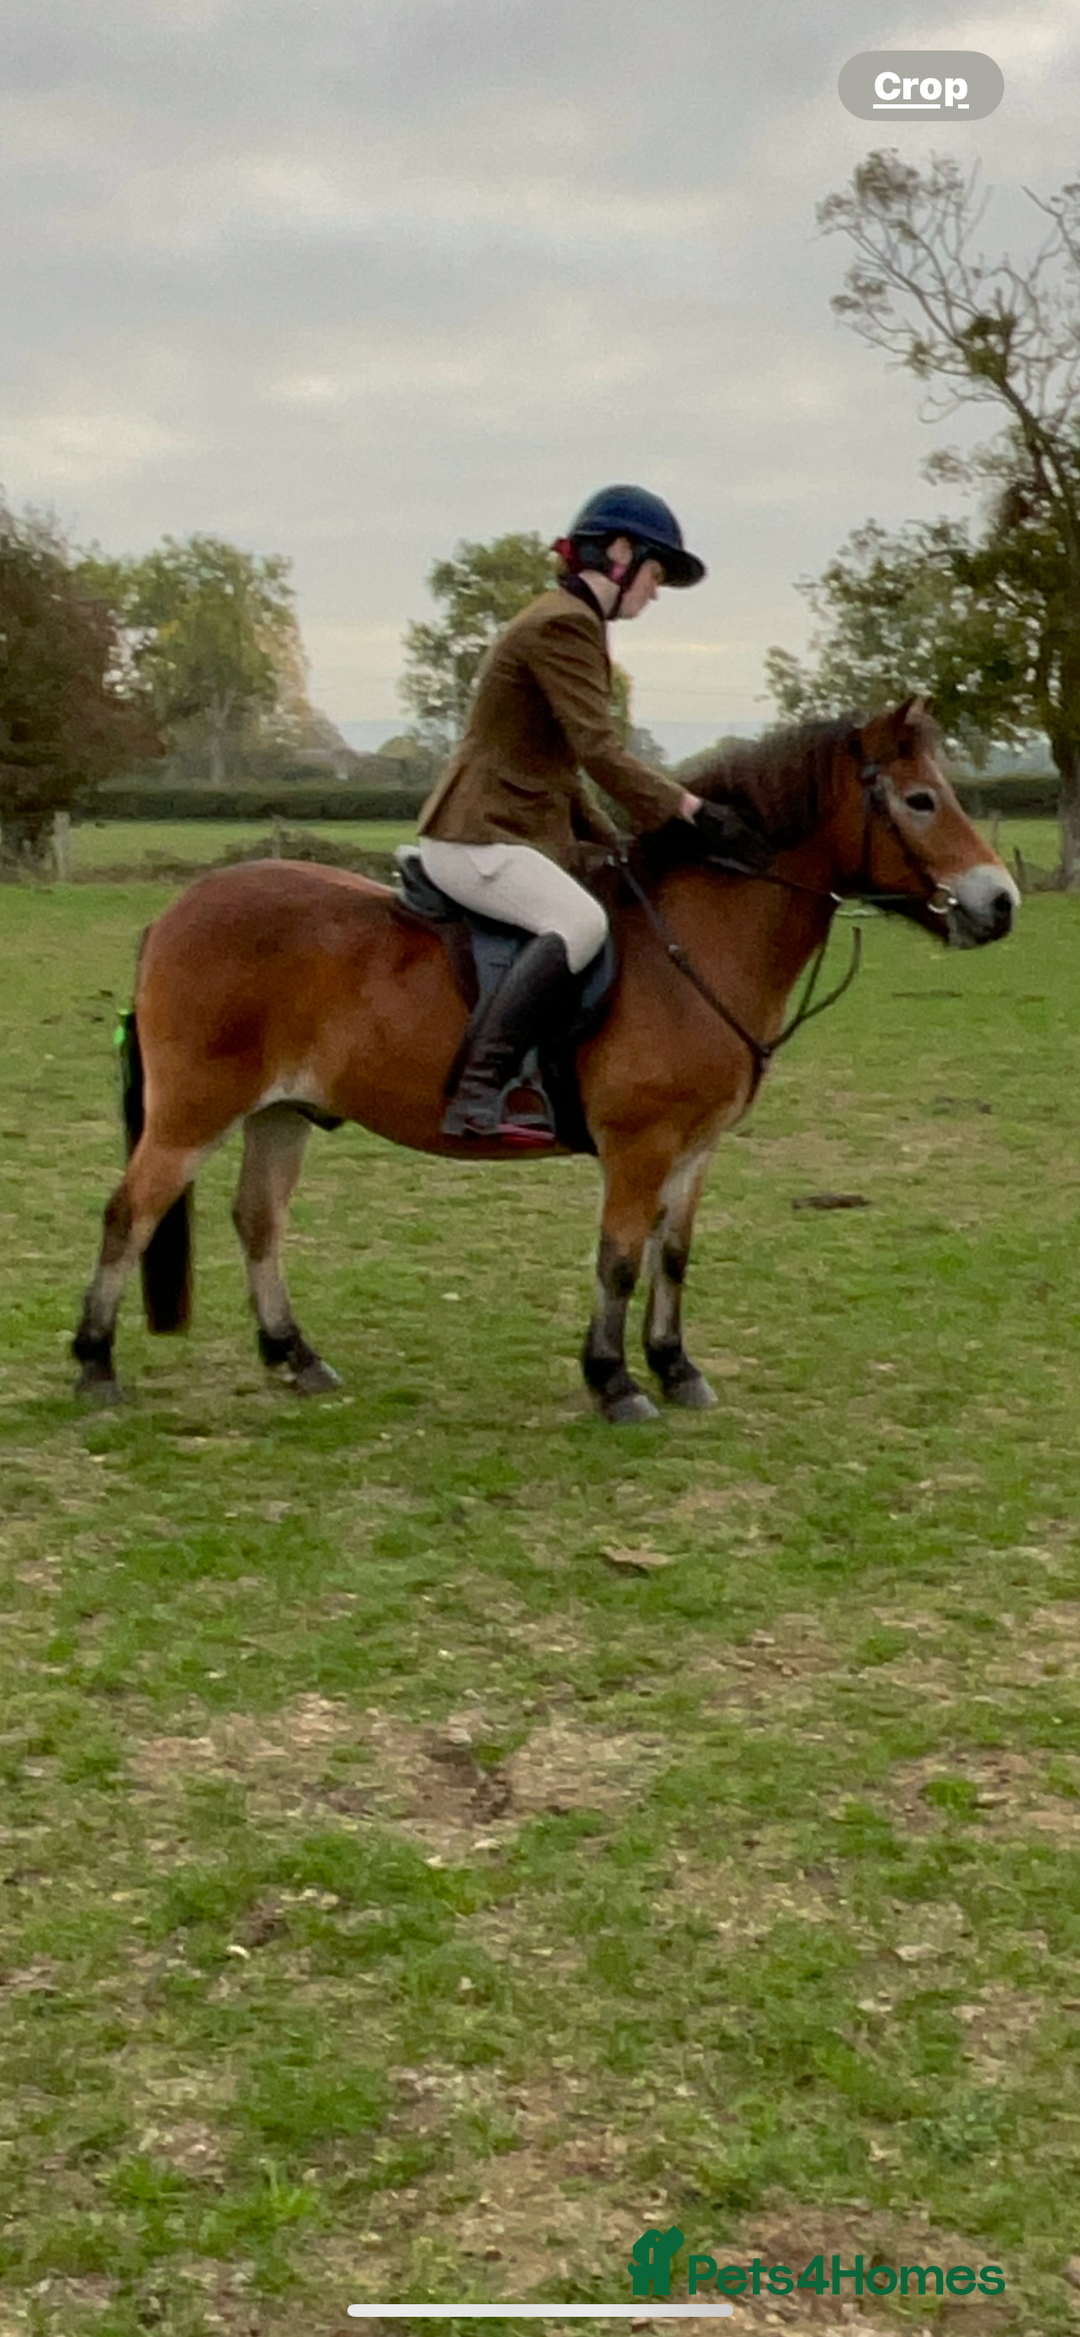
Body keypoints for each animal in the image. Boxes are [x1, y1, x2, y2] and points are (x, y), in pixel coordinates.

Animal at [72, 699, 1018, 1424]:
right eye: (921, 800)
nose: (1000, 902)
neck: (694, 940)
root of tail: (176, 912)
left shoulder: (696, 1148)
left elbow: (674, 1256)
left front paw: (676, 1367)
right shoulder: (640, 1146)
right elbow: (620, 1257)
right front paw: (614, 1381)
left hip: (280, 1113)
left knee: (258, 1220)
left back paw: (294, 1354)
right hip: (193, 1111)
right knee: (129, 1214)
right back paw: (95, 1363)